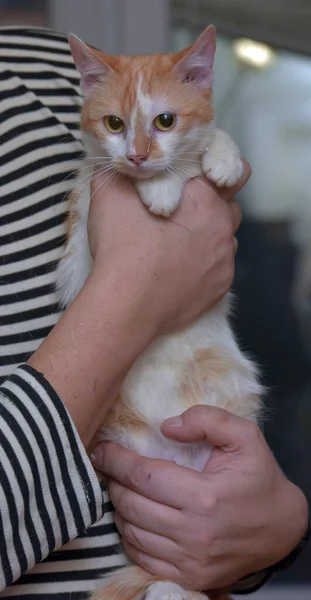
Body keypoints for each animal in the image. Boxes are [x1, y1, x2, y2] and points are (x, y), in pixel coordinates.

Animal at [56, 25, 264, 600]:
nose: (139, 155)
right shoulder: (84, 238)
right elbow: (113, 180)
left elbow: (214, 141)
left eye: (165, 121)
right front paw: (161, 190)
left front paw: (220, 158)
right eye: (114, 124)